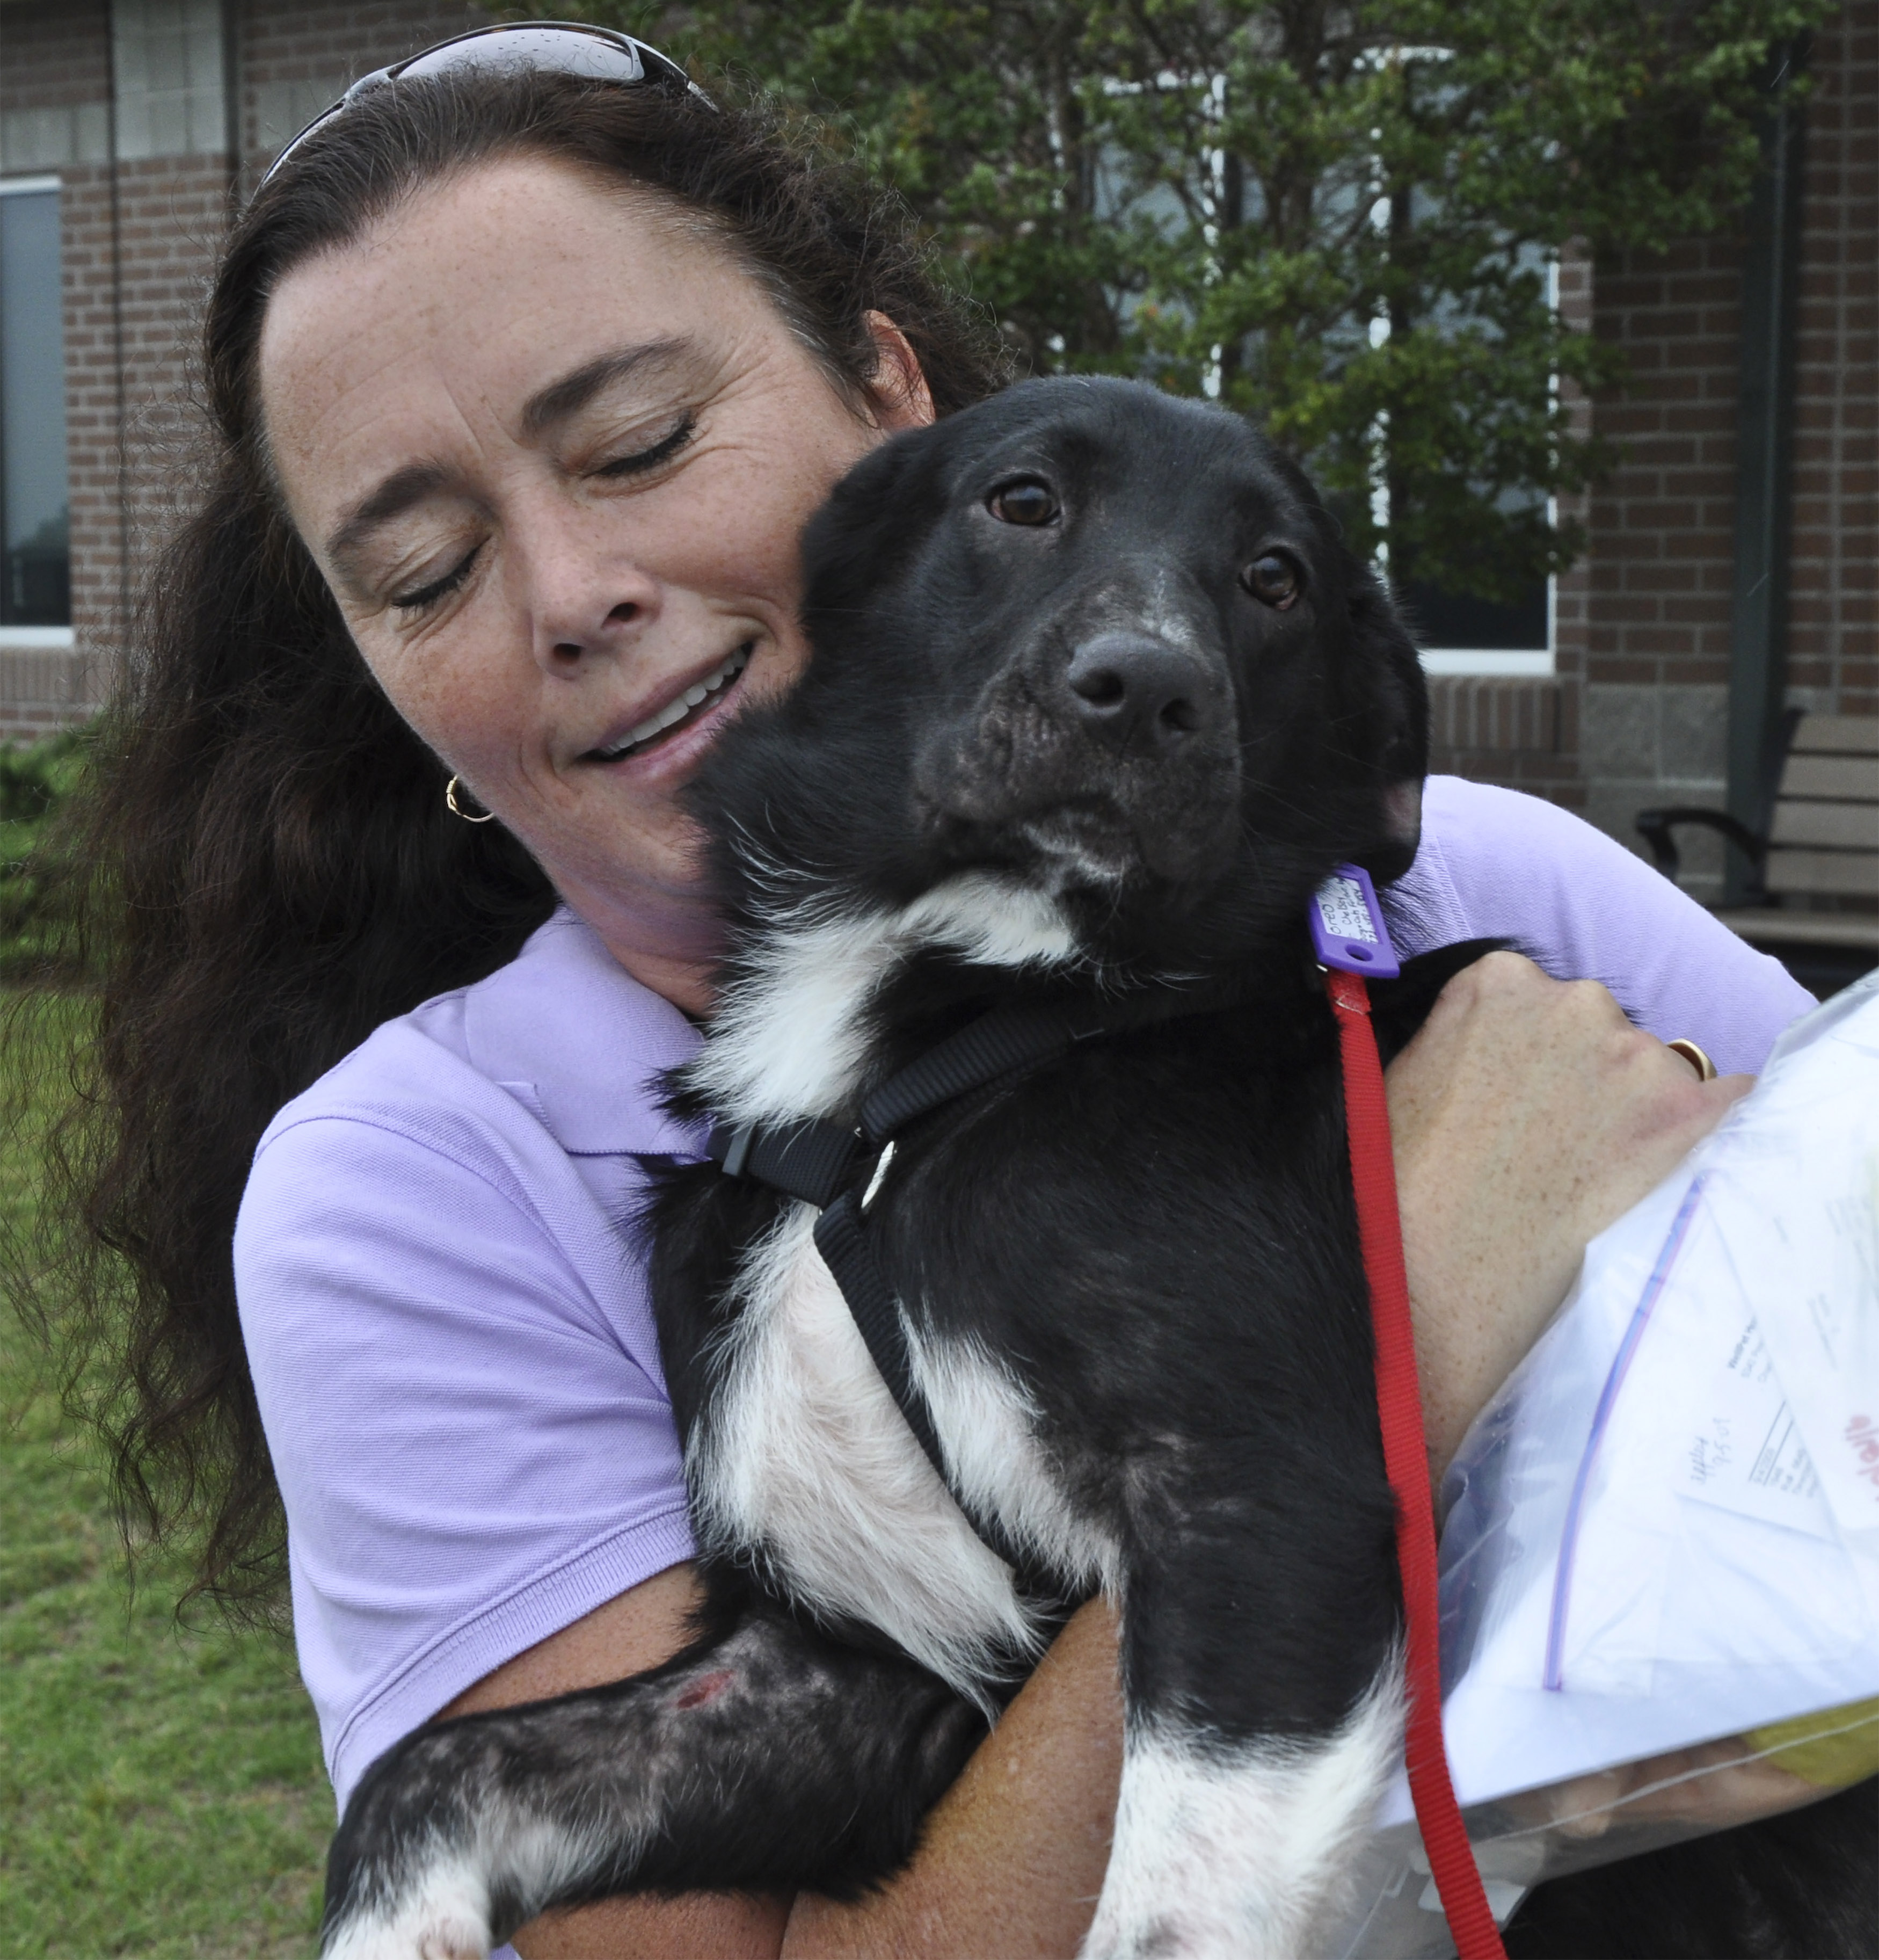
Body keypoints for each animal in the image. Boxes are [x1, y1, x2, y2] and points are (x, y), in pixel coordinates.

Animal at [323, 374, 1879, 1952]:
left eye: (1275, 578)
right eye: (1023, 499)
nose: (1146, 690)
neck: (933, 1050)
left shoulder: (1266, 1511)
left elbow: (1162, 1918)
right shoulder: (848, 1669)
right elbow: (430, 1772)